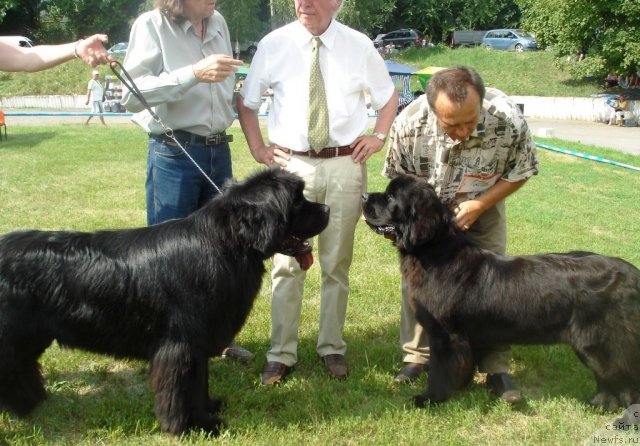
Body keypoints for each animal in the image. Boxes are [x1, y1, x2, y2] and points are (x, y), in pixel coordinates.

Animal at [0, 168, 330, 436]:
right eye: (297, 201)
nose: (327, 208)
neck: (225, 245)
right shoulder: (180, 345)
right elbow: (180, 389)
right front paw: (190, 427)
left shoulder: (198, 342)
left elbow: (199, 383)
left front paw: (207, 410)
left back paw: (30, 404)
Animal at [362, 174, 640, 412]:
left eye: (391, 197)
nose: (364, 196)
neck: (435, 253)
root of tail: (631, 273)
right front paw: (461, 387)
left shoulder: (445, 335)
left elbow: (439, 371)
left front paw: (430, 399)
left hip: (598, 342)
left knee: (622, 380)